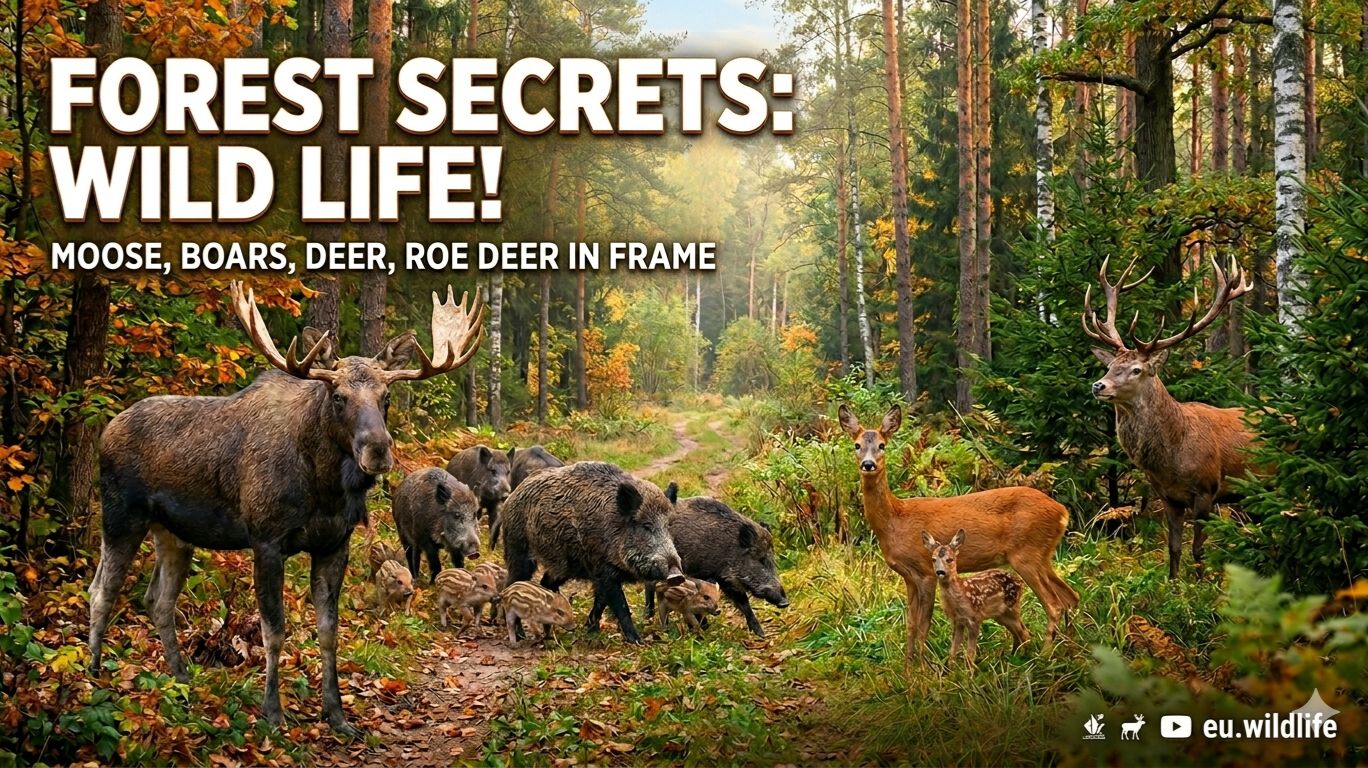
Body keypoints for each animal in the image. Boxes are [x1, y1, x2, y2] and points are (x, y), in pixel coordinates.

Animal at [88, 283, 482, 737]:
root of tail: (106, 428)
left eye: (386, 397)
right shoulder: (266, 540)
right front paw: (273, 712)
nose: (378, 449)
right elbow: (273, 631)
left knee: (158, 600)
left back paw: (182, 677)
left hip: (173, 533)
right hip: (120, 515)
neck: (323, 488)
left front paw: (337, 715)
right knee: (102, 590)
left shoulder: (334, 545)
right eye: (338, 396)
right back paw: (92, 676)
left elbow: (329, 631)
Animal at [922, 529, 1031, 668]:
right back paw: (1012, 657)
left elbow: (970, 654)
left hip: (1012, 608)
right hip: (1001, 615)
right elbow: (953, 650)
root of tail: (1020, 581)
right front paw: (951, 670)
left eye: (950, 559)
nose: (940, 572)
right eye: (933, 559)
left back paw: (1027, 659)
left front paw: (969, 673)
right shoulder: (957, 621)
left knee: (1024, 633)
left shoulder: (975, 619)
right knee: (1017, 633)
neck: (961, 594)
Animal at [1083, 255, 1256, 580]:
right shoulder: (1168, 496)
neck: (1173, 456)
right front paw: (1173, 584)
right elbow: (1173, 548)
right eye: (1110, 365)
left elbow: (1198, 549)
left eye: (1137, 369)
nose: (1099, 385)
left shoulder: (1206, 490)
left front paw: (1201, 586)